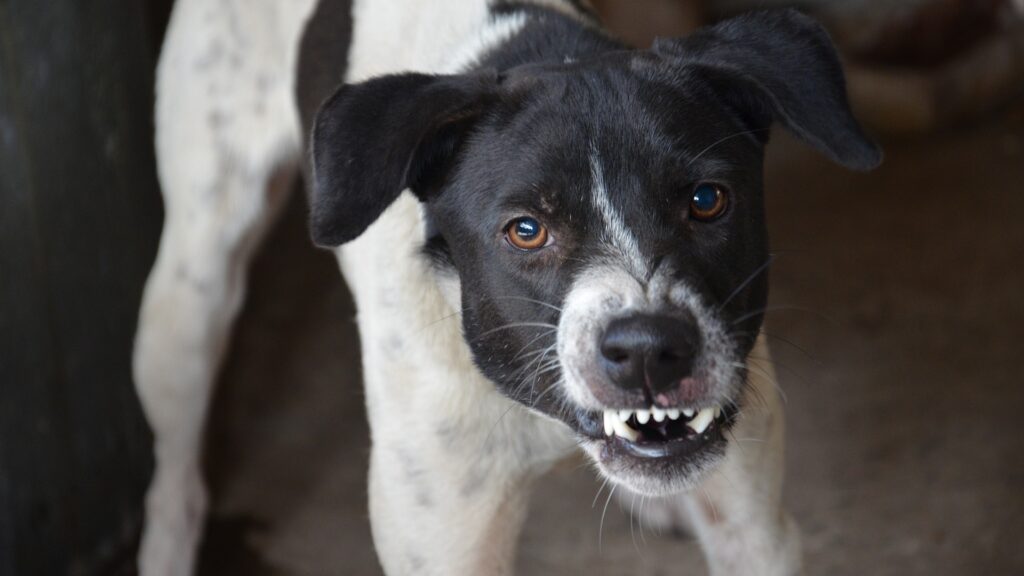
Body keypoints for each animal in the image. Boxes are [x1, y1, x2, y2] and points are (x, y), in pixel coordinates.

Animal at [134, 0, 880, 569]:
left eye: (706, 200)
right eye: (525, 230)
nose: (648, 351)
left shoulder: (755, 531)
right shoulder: (445, 541)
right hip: (192, 288)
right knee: (175, 476)